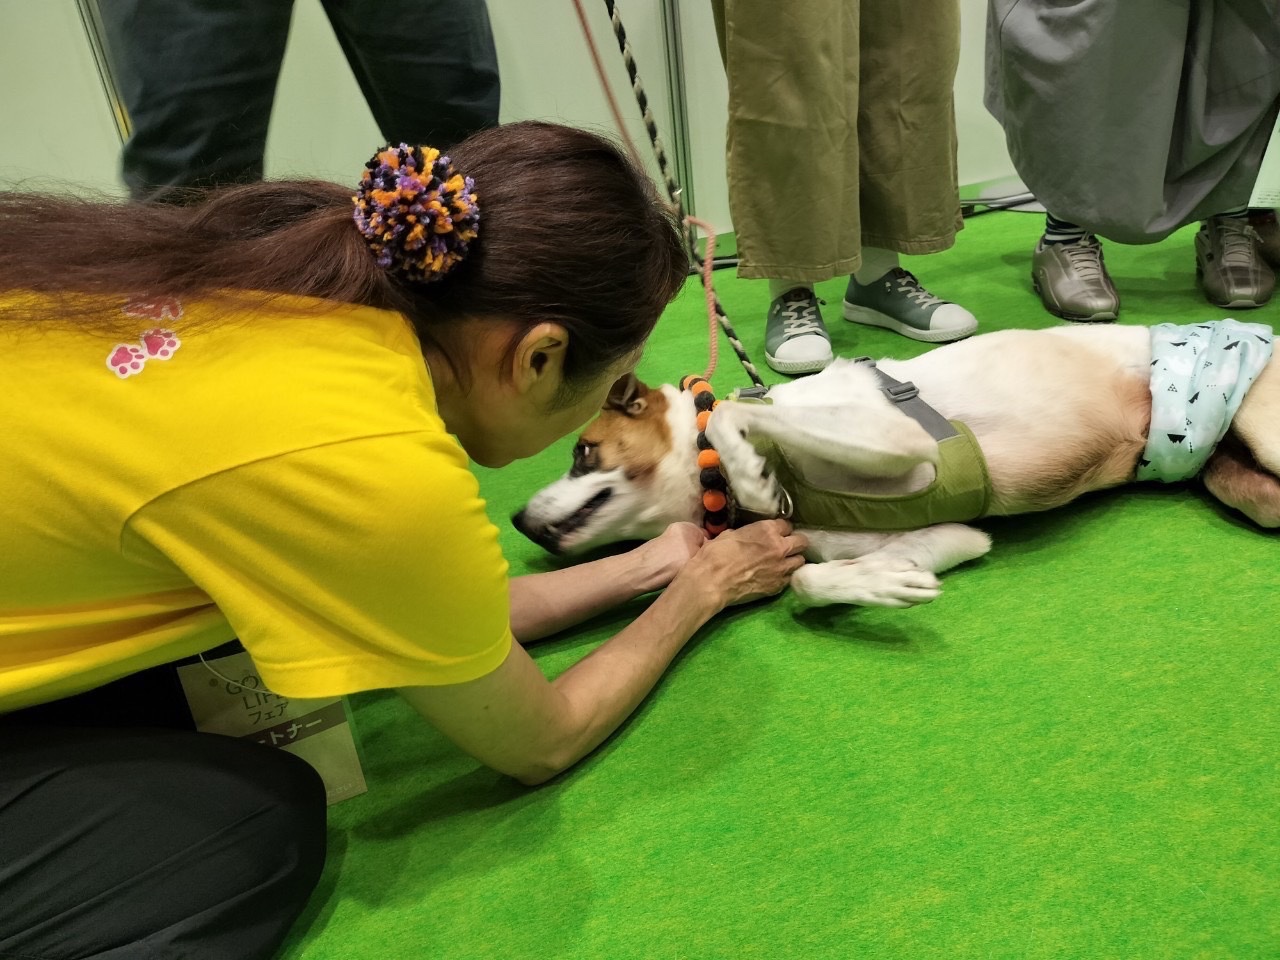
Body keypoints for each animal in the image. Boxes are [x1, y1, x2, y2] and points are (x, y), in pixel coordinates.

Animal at [514, 321, 1279, 608]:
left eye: (582, 452)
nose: (518, 518)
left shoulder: (900, 439)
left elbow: (735, 414)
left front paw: (755, 472)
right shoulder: (961, 536)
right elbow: (812, 577)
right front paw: (883, 583)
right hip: (1239, 481)